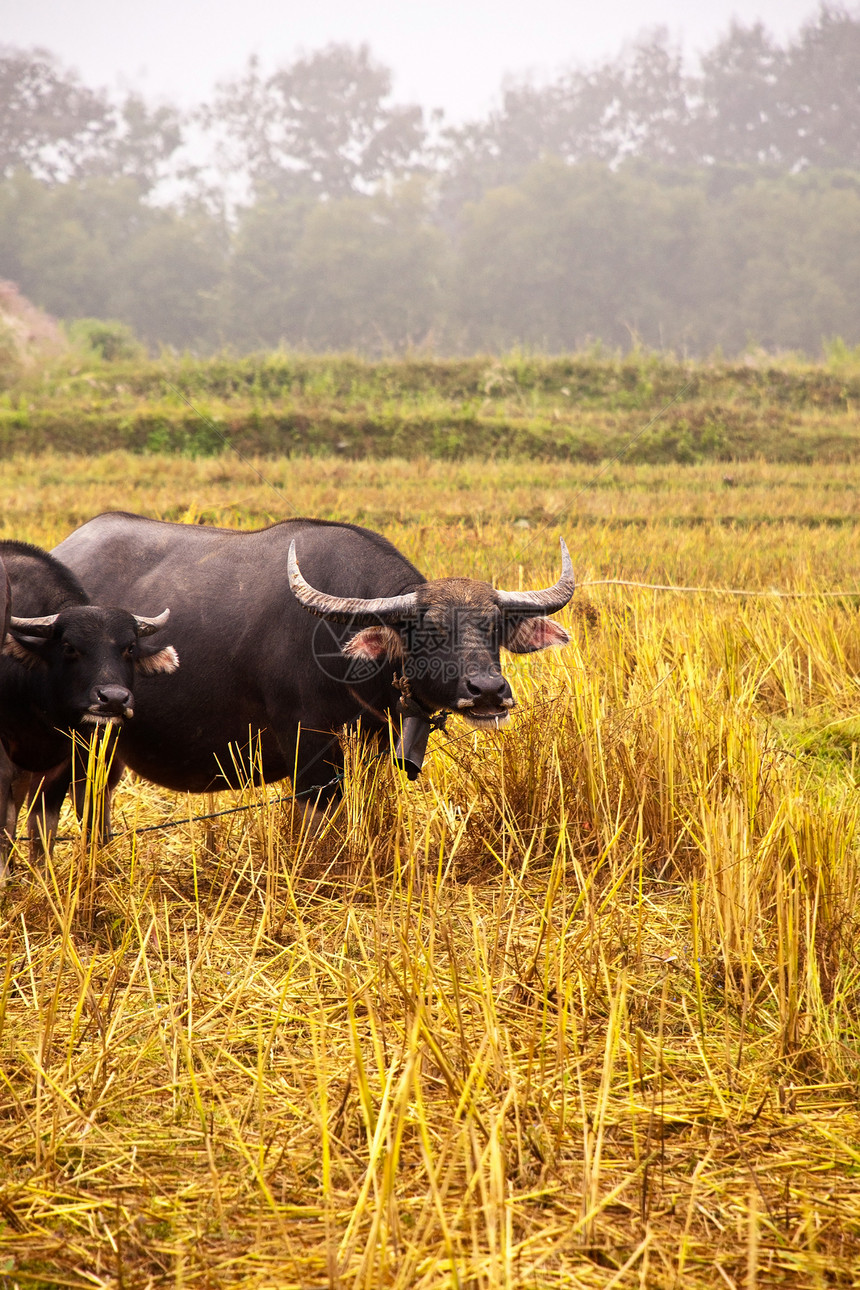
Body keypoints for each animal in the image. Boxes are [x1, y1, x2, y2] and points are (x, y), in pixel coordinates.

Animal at [0, 539, 177, 872]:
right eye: (69, 647)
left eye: (129, 648)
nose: (113, 698)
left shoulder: (66, 760)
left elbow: (43, 827)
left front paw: (41, 876)